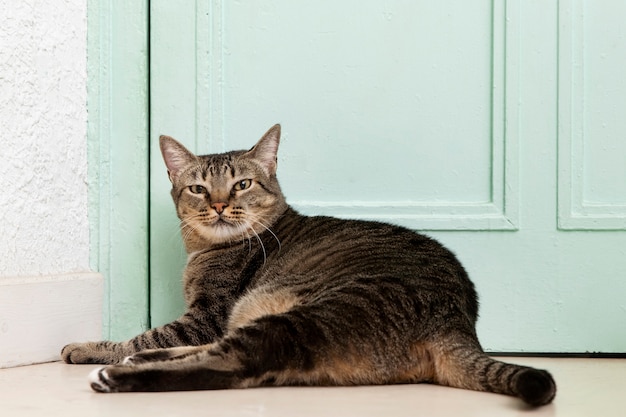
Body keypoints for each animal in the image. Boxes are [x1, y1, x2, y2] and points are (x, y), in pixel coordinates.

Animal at [61, 123, 552, 406]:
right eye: (198, 189)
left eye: (242, 184)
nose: (218, 205)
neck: (205, 249)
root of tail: (457, 322)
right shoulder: (210, 318)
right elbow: (154, 336)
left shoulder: (206, 314)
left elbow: (145, 333)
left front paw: (88, 347)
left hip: (307, 313)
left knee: (232, 364)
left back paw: (117, 376)